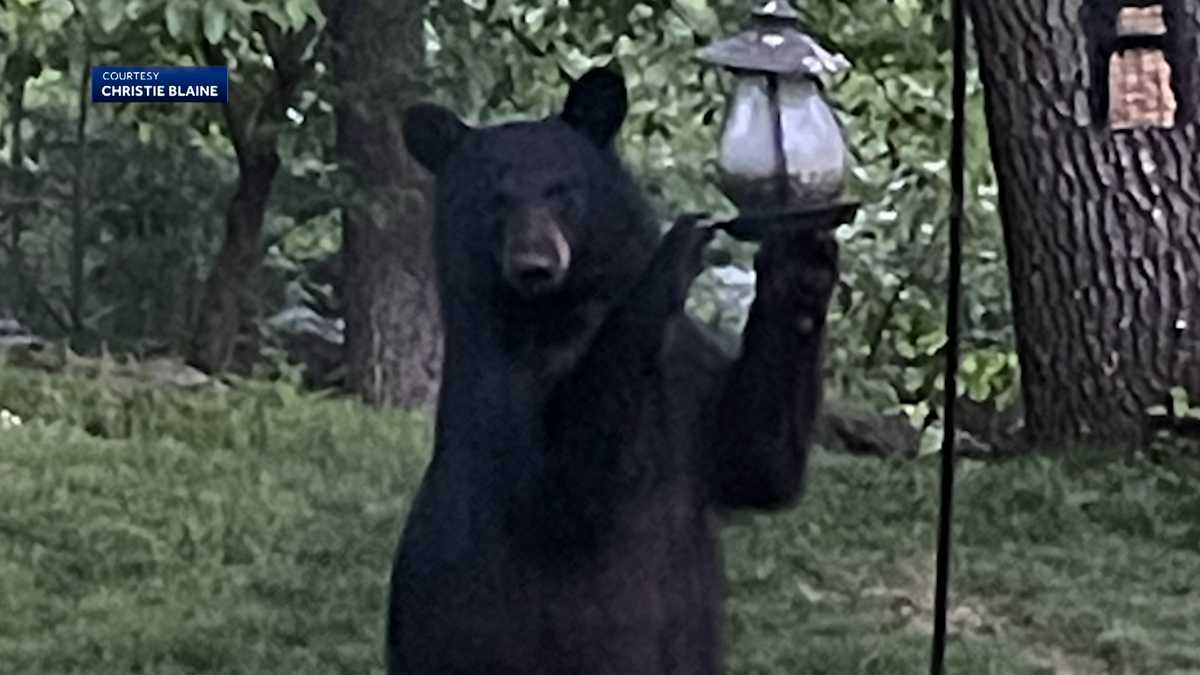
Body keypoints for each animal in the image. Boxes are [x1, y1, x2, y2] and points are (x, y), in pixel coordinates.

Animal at [388, 68, 840, 672]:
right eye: (495, 199)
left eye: (560, 191)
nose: (534, 264)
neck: (563, 314)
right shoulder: (498, 384)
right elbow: (560, 485)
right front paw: (675, 250)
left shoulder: (685, 367)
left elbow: (758, 457)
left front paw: (802, 263)